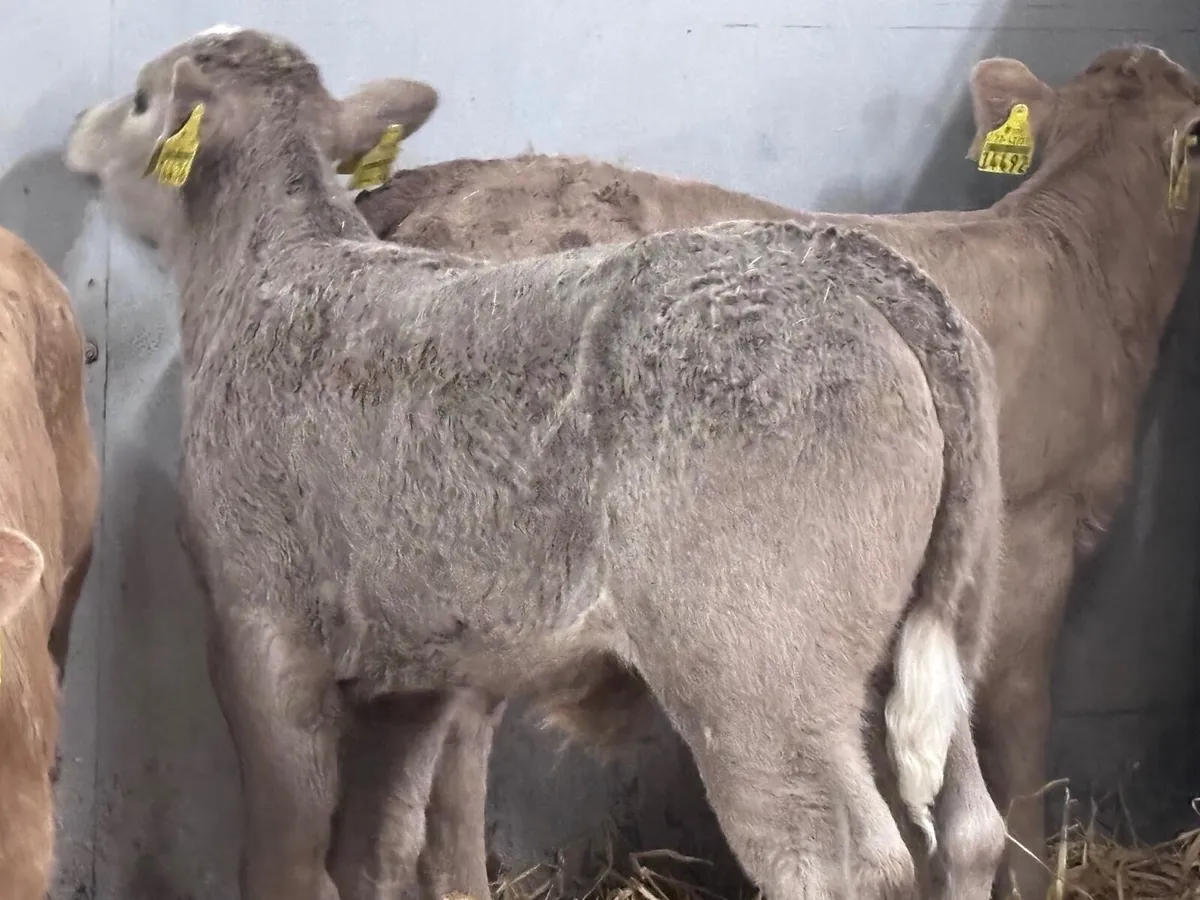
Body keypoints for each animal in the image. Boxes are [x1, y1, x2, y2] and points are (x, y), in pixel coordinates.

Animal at [63, 26, 1006, 900]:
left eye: (140, 98)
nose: (74, 128)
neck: (270, 273)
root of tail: (839, 259)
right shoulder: (415, 665)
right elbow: (379, 850)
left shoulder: (259, 624)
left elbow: (289, 858)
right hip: (941, 630)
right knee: (969, 828)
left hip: (757, 661)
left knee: (840, 859)